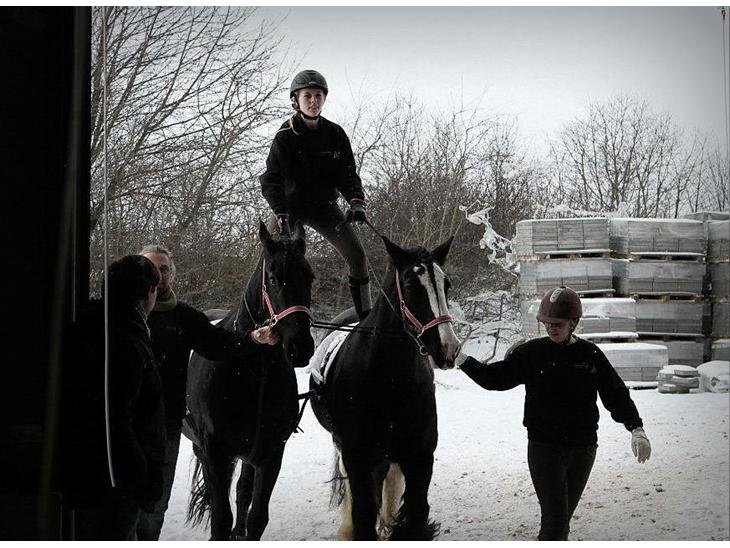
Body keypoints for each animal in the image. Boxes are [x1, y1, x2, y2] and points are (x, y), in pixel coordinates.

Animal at [185, 221, 315, 540]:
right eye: (273, 278)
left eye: (309, 277)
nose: (301, 347)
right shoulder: (215, 452)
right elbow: (220, 517)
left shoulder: (270, 452)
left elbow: (256, 515)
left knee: (243, 491)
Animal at [309, 234, 461, 540]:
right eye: (411, 286)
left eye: (446, 284)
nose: (449, 348)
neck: (388, 379)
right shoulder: (357, 456)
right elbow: (362, 515)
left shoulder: (420, 455)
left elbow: (416, 515)